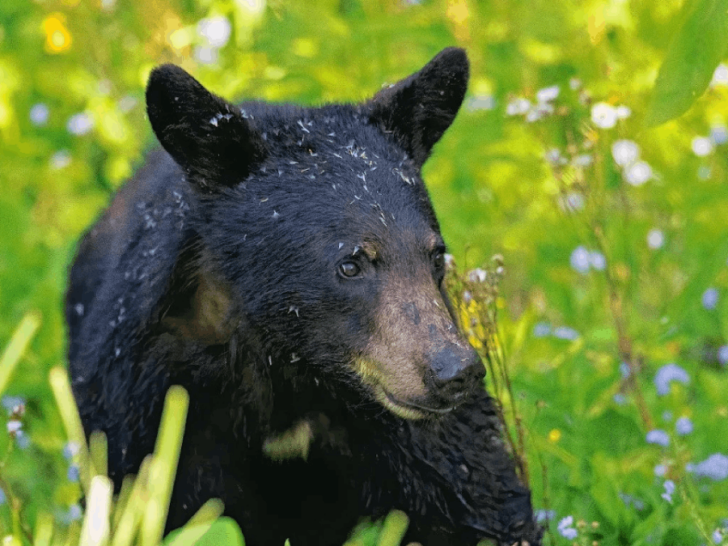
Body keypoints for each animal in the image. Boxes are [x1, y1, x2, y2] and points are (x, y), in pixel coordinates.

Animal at [66, 48, 542, 546]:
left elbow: (473, 494)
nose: (454, 371)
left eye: (435, 255)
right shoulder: (157, 403)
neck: (287, 362)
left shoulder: (413, 432)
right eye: (350, 263)